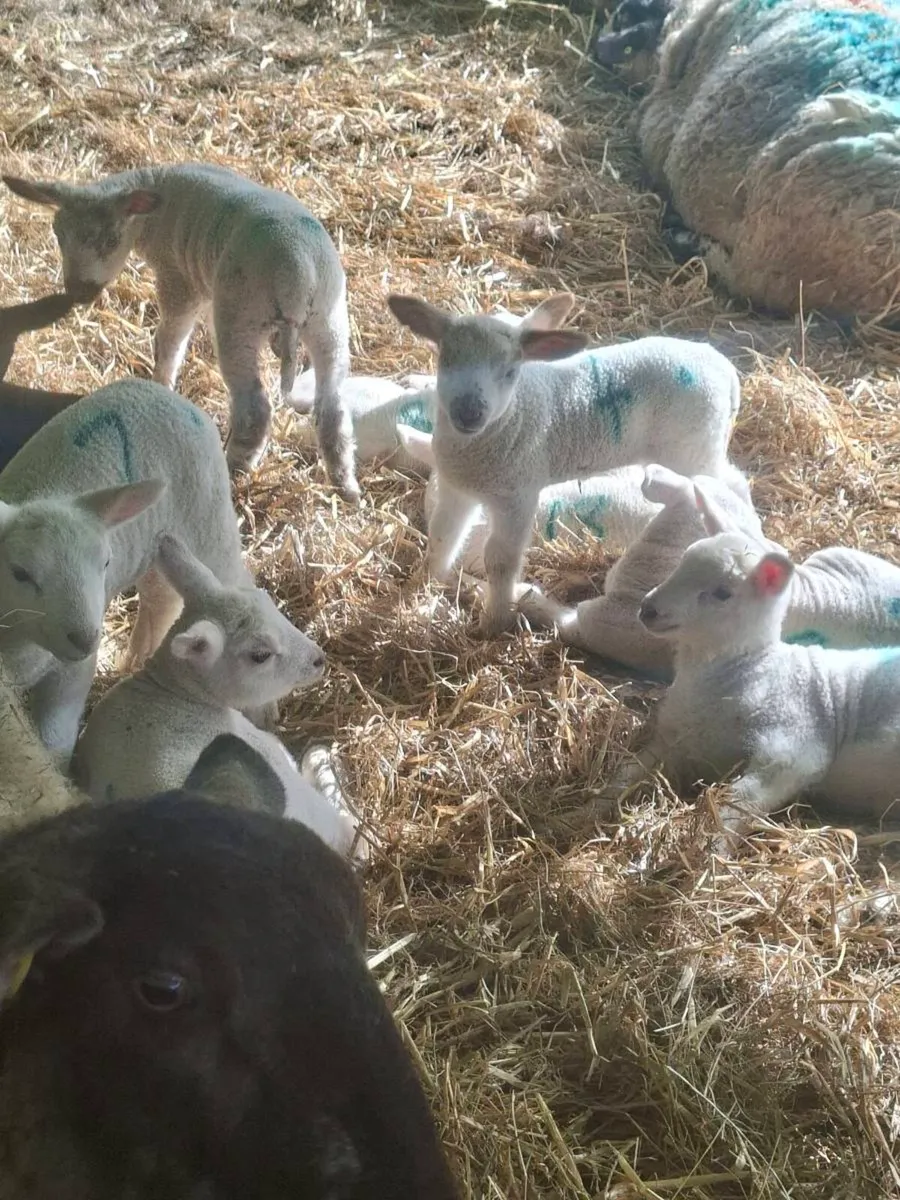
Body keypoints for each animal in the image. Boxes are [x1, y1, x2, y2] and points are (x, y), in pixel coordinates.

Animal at [0, 376, 252, 766]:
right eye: (20, 573)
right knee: (161, 599)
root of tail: (159, 390)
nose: (86, 639)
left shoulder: (72, 673)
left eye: (105, 562)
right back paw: (135, 659)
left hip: (208, 522)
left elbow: (55, 739)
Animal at [3, 162, 359, 497]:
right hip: (329, 319)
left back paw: (235, 470)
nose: (78, 293)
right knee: (332, 407)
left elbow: (170, 339)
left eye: (110, 240)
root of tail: (299, 273)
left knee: (255, 407)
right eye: (58, 234)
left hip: (241, 315)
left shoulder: (178, 279)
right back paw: (346, 485)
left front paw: (161, 385)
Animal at [387, 292, 740, 635]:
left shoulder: (517, 495)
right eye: (445, 360)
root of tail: (724, 367)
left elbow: (501, 561)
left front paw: (494, 622)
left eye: (510, 372)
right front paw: (421, 587)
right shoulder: (455, 486)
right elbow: (441, 537)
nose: (469, 413)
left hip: (693, 447)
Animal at [593, 0, 900, 321]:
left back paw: (683, 238)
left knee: (749, 281)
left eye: (624, 17)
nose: (597, 48)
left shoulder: (660, 123)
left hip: (781, 221)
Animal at [610, 523, 900, 845]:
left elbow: (737, 801)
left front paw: (715, 845)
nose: (648, 609)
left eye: (723, 593)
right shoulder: (674, 741)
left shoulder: (793, 747)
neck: (753, 670)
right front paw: (593, 803)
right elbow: (627, 771)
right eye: (680, 564)